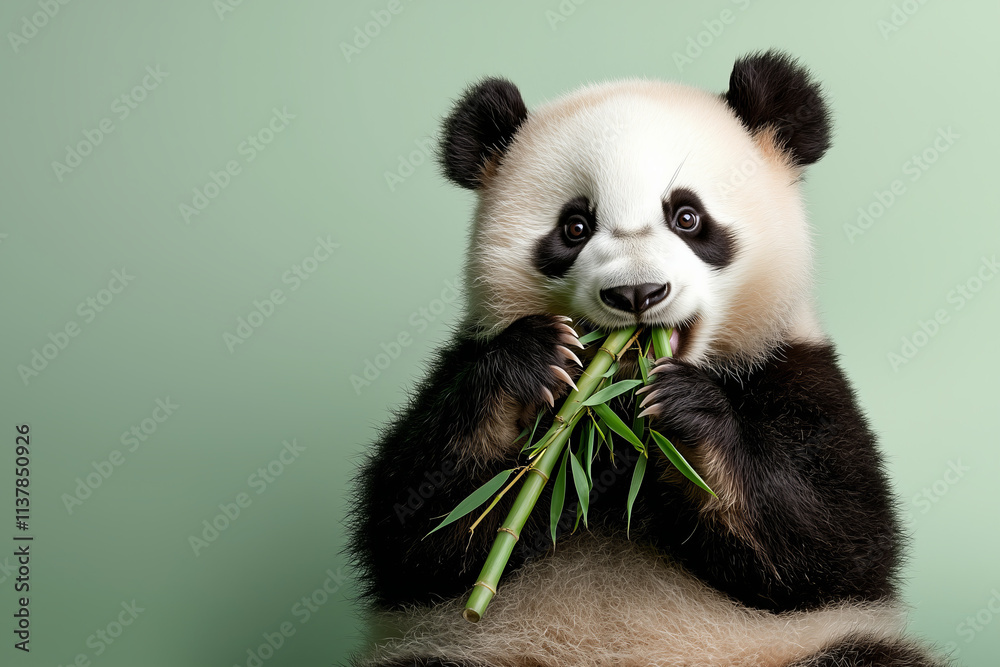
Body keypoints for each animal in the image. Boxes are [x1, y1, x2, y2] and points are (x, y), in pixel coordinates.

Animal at [348, 51, 947, 667]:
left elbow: (833, 540)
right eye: (575, 227)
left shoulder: (795, 369)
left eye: (687, 217)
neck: (617, 413)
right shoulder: (461, 361)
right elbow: (418, 527)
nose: (636, 293)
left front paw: (687, 411)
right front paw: (531, 363)